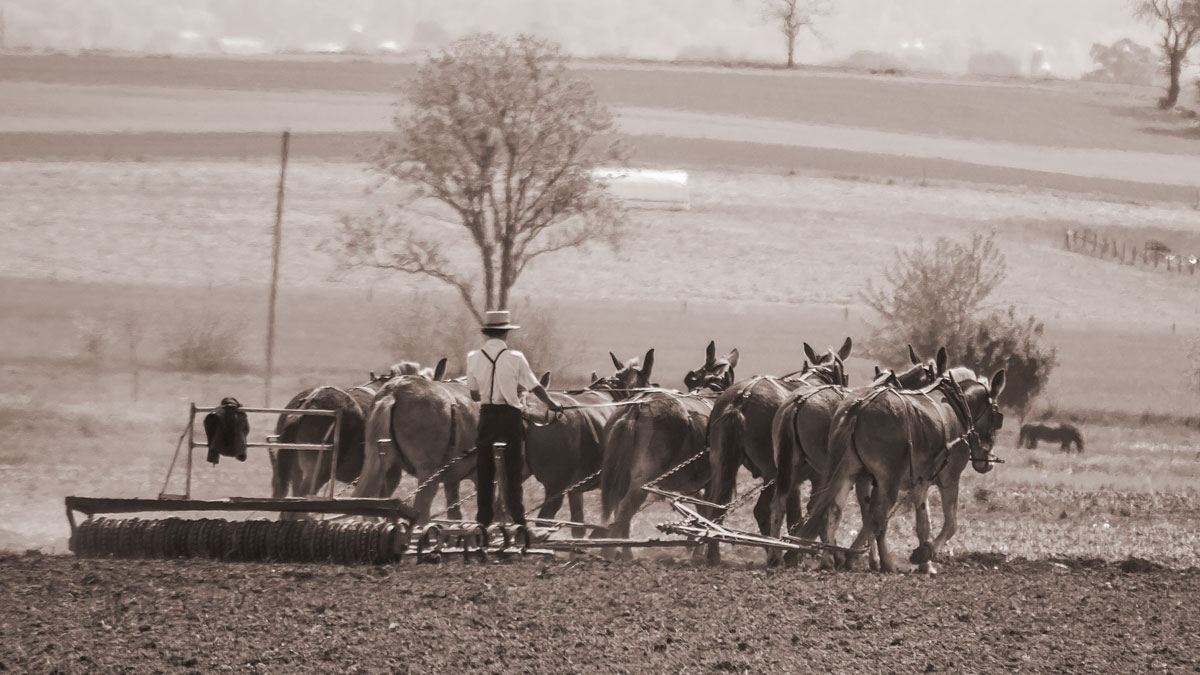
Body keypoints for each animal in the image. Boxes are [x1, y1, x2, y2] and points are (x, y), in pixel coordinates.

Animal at [523, 353, 657, 535]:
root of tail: (528, 412)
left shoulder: (575, 489)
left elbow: (578, 526)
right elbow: (621, 525)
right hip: (555, 488)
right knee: (543, 521)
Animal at [604, 341, 734, 557]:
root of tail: (637, 407)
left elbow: (700, 511)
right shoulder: (713, 481)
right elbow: (710, 513)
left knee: (619, 515)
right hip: (643, 481)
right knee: (622, 515)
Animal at [696, 336, 854, 562]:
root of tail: (741, 399)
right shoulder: (815, 476)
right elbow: (809, 512)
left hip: (721, 464)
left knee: (715, 506)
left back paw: (714, 554)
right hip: (774, 472)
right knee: (764, 510)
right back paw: (775, 553)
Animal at [763, 343, 940, 564]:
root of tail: (798, 402)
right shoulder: (870, 478)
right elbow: (870, 516)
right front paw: (874, 559)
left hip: (791, 467)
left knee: (779, 505)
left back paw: (778, 554)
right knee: (820, 508)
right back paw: (825, 555)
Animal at [801, 365, 1008, 569]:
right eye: (996, 418)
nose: (987, 463)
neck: (959, 408)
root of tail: (859, 406)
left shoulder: (921, 482)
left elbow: (924, 524)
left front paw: (926, 564)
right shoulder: (950, 479)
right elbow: (951, 523)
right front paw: (926, 553)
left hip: (848, 472)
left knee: (834, 511)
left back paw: (829, 558)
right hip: (888, 481)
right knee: (876, 519)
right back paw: (863, 558)